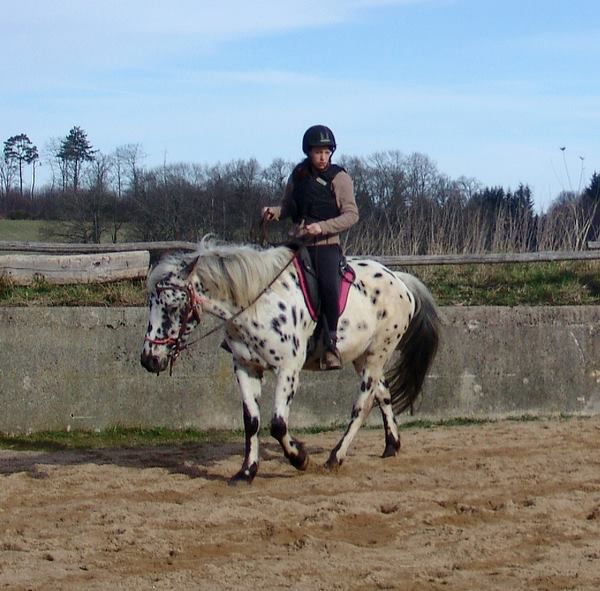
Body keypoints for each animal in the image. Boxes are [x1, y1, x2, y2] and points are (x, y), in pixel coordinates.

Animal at [140, 238, 440, 484]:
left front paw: (300, 458)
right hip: (361, 355)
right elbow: (252, 421)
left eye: (172, 306)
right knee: (383, 394)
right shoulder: (245, 367)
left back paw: (335, 457)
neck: (255, 305)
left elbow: (278, 424)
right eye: (152, 303)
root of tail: (399, 279)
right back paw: (391, 446)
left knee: (362, 404)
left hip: (379, 351)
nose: (149, 360)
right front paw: (246, 472)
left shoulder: (288, 369)